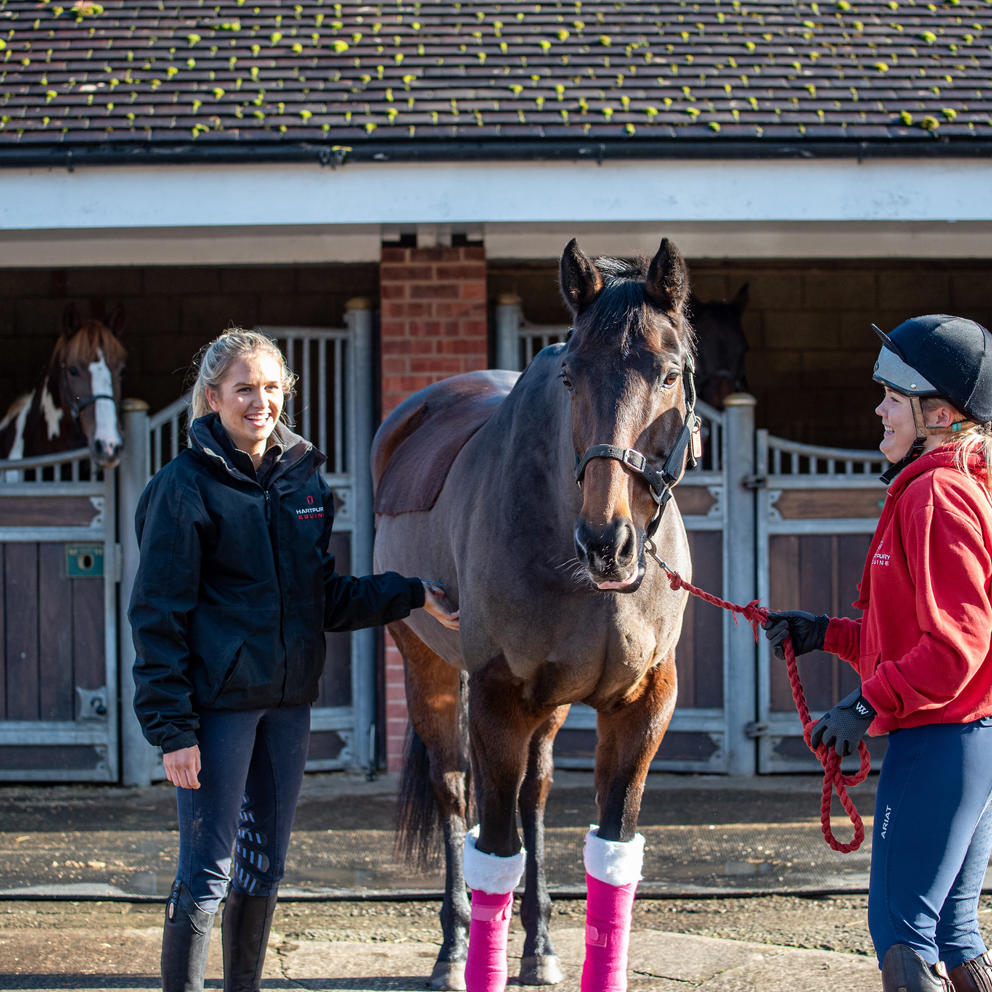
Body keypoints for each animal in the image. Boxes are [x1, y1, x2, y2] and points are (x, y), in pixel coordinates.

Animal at [372, 236, 696, 988]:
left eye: (669, 374)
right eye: (571, 376)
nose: (607, 543)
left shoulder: (645, 703)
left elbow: (611, 847)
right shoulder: (496, 697)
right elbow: (492, 845)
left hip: (546, 706)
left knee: (535, 794)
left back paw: (540, 943)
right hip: (427, 667)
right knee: (454, 788)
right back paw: (452, 949)